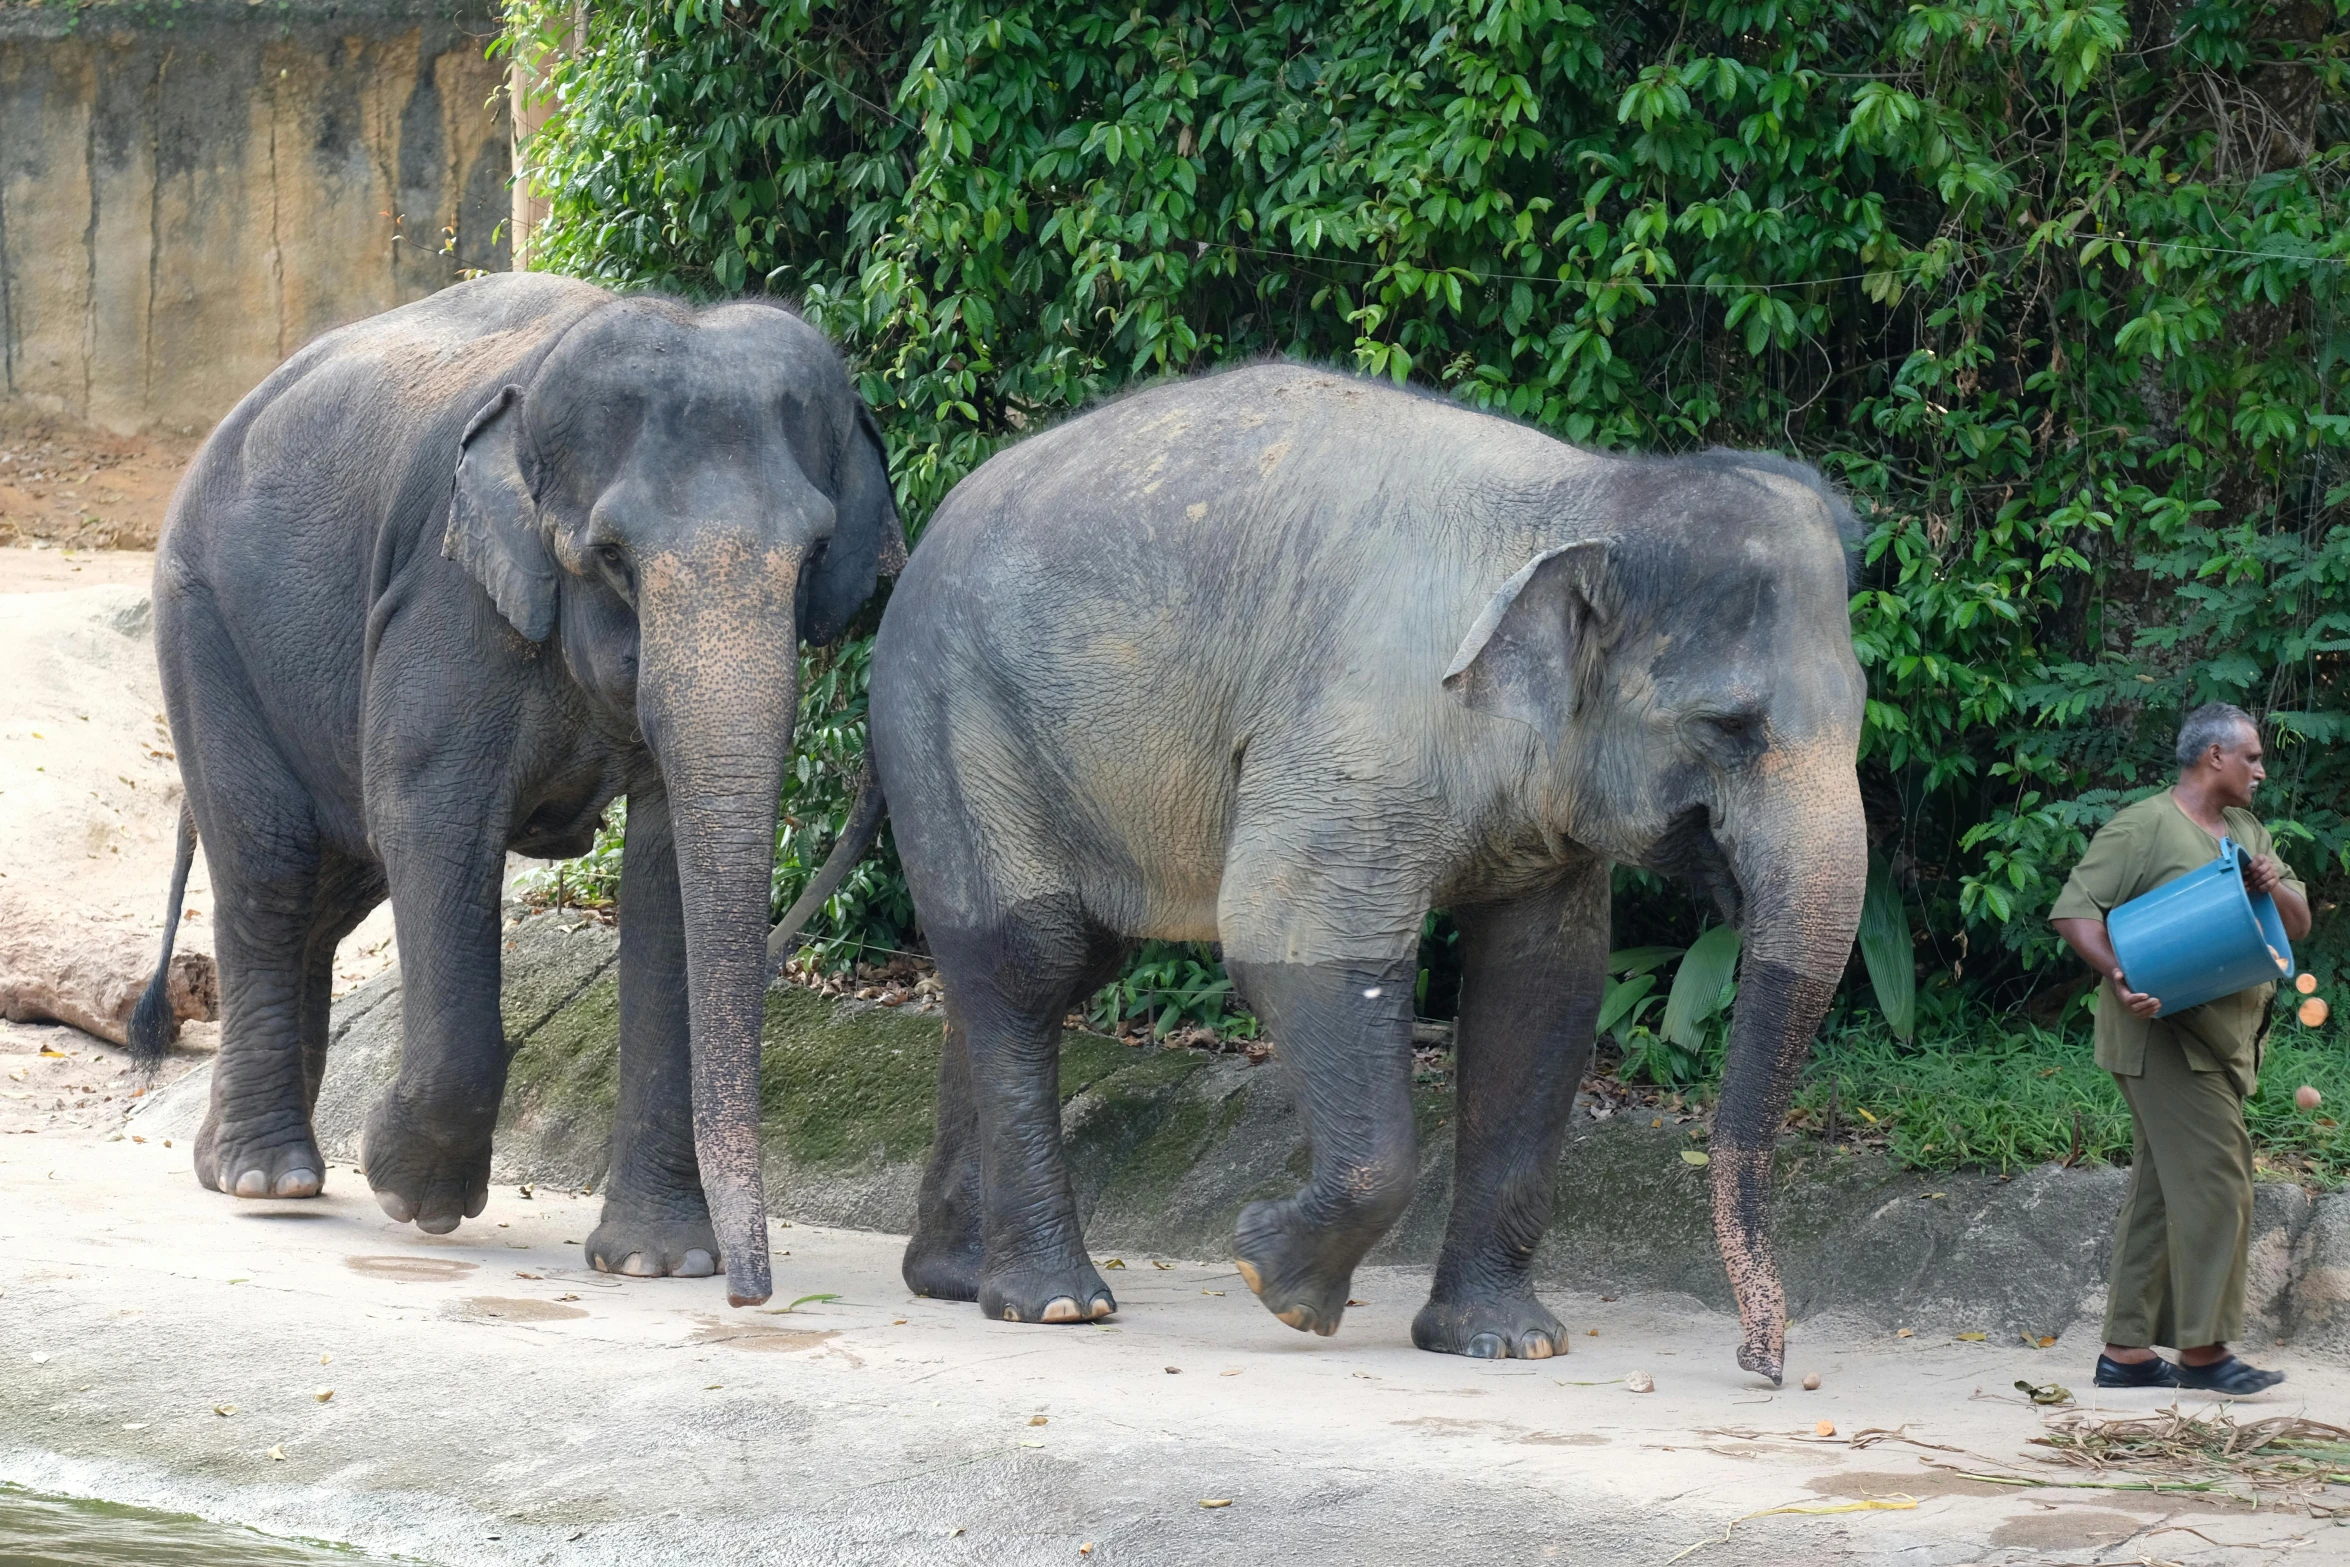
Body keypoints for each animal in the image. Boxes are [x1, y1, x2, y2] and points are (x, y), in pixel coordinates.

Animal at [128, 272, 897, 1315]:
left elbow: (665, 873)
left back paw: (237, 1160)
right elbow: (430, 815)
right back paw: (267, 1179)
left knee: (328, 891)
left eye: (814, 555)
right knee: (273, 868)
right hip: (201, 619)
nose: (751, 1294)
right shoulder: (449, 601)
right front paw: (414, 1194)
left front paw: (657, 1263)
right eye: (612, 555)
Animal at [789, 361, 1870, 1381]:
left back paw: (956, 1279)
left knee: (1031, 973)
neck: (1583, 495)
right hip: (956, 724)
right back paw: (1056, 1303)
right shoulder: (1349, 734)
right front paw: (1275, 1279)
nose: (1762, 1363)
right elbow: (1289, 937)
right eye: (1728, 726)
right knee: (1031, 962)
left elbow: (1542, 989)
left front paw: (1508, 1344)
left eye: (1863, 709)